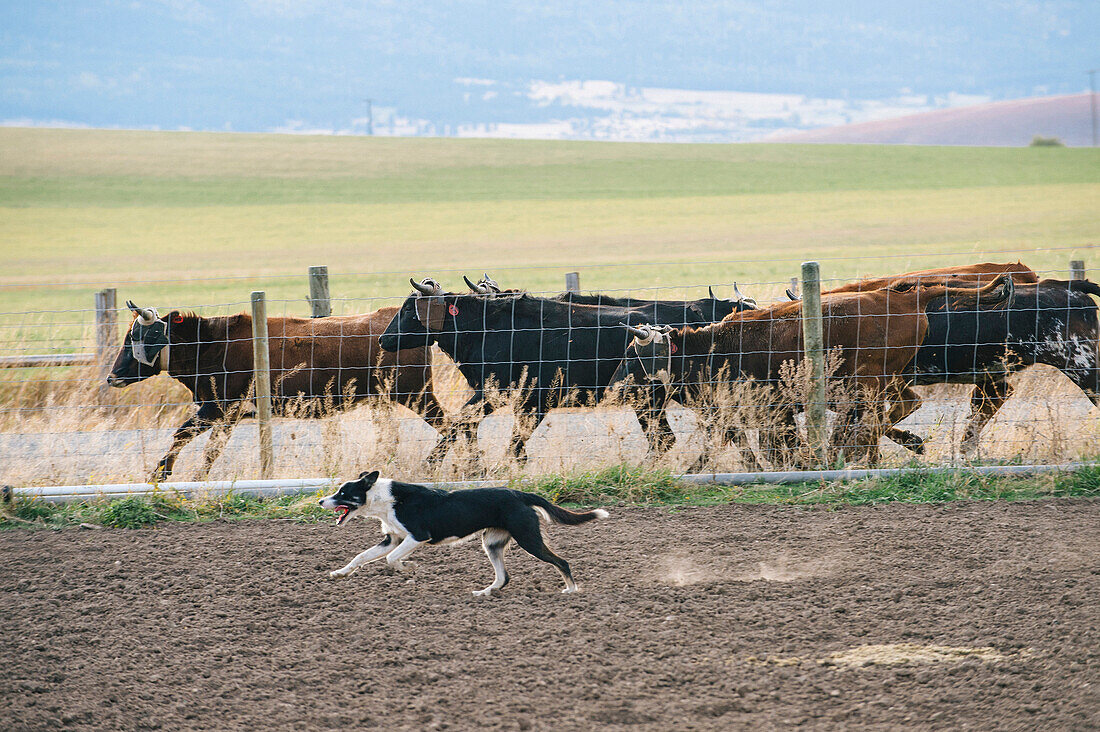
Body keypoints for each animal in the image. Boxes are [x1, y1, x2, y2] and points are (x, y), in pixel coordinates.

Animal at [106, 301, 442, 479]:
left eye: (139, 337)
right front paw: (163, 472)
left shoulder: (222, 409)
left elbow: (195, 441)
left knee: (451, 426)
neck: (213, 344)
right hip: (386, 400)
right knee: (392, 438)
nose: (112, 377)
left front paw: (172, 474)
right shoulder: (220, 411)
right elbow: (191, 439)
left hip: (417, 395)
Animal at [380, 277, 677, 464]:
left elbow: (469, 426)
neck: (488, 328)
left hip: (649, 399)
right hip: (648, 401)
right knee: (664, 440)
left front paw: (433, 464)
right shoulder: (512, 399)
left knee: (664, 440)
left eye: (408, 310)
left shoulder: (515, 396)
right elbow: (471, 427)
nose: (384, 339)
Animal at [616, 274, 1016, 468]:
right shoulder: (738, 415)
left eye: (633, 357)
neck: (717, 349)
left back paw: (851, 451)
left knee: (877, 416)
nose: (617, 386)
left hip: (867, 380)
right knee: (899, 407)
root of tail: (901, 296)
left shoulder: (770, 411)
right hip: (884, 380)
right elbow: (747, 448)